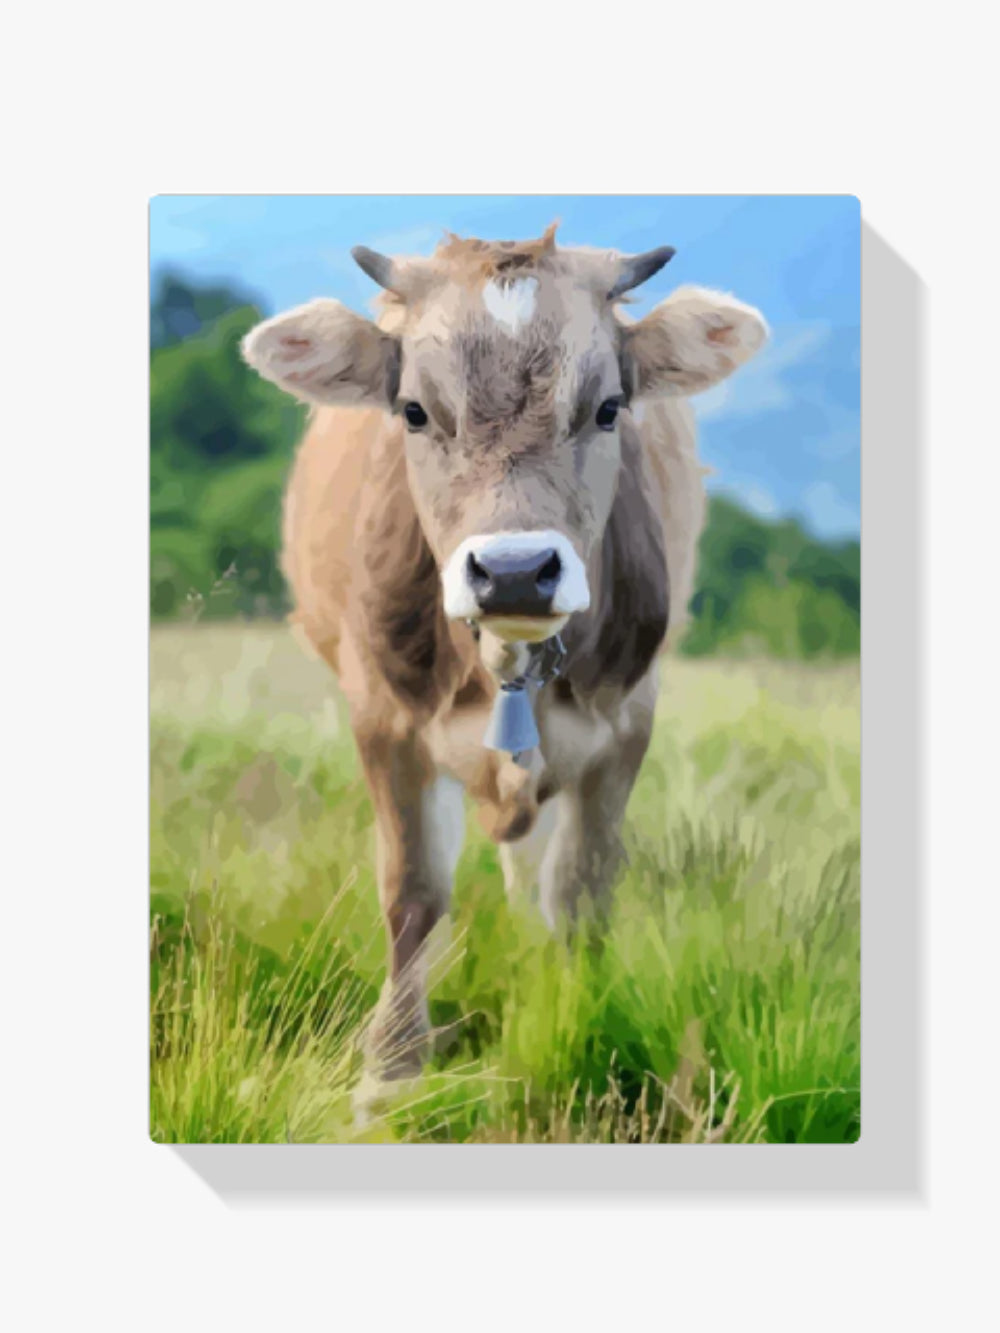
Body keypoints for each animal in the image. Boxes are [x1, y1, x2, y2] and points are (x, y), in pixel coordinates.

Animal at [241, 225, 767, 1082]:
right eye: (414, 411)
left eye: (608, 408)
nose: (516, 570)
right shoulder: (383, 718)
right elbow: (413, 888)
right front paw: (392, 1062)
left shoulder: (626, 725)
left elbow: (582, 889)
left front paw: (577, 1015)